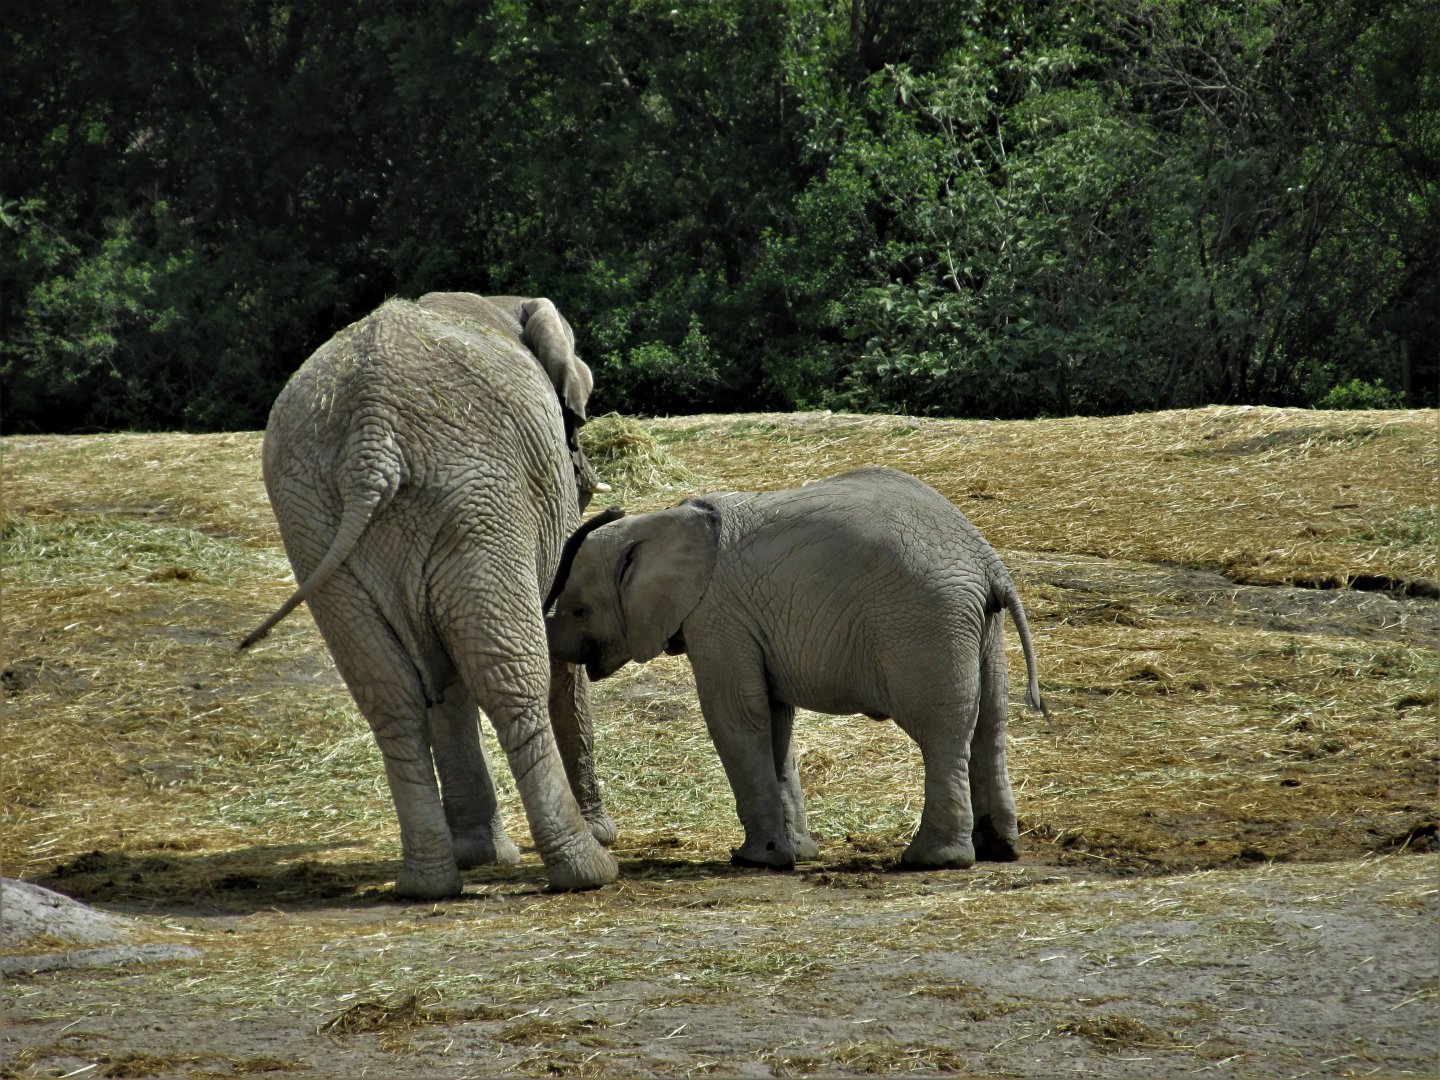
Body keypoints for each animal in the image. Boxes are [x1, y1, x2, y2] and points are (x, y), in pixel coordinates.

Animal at [240, 291, 618, 899]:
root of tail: (370, 443)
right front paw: (600, 833)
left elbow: (442, 676)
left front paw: (481, 855)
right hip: (478, 502)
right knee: (510, 680)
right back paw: (588, 870)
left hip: (316, 525)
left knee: (392, 696)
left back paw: (428, 884)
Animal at [545, 466, 1047, 872]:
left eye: (579, 612)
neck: (661, 521)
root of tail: (988, 562)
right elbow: (774, 719)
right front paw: (796, 854)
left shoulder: (717, 616)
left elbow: (735, 715)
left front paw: (756, 860)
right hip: (982, 628)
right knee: (990, 723)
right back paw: (1000, 850)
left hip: (927, 621)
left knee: (941, 730)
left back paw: (933, 861)